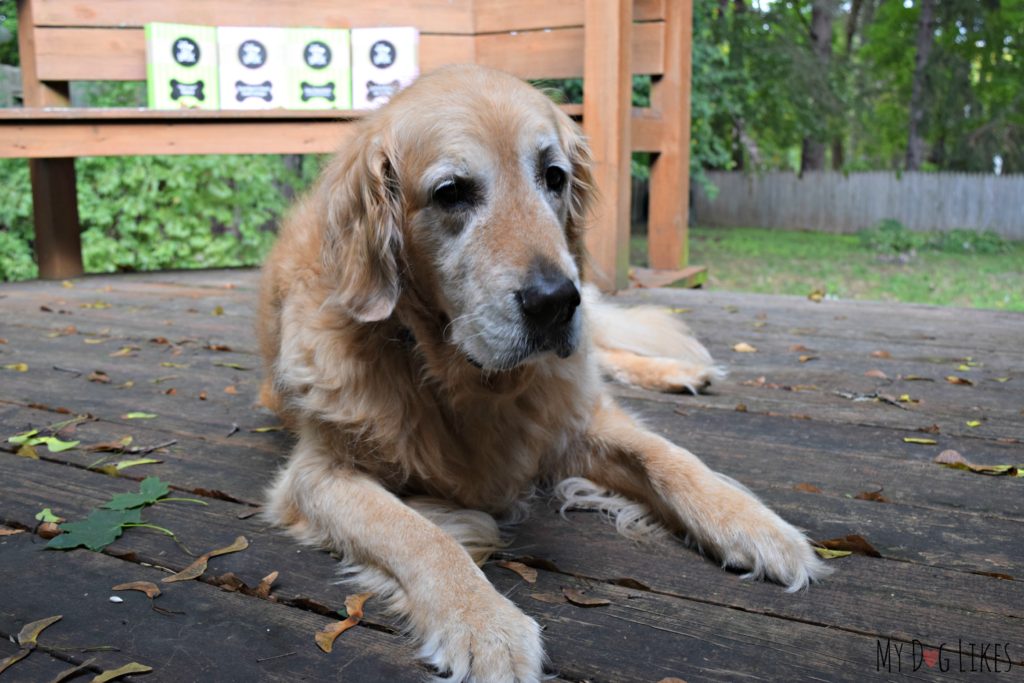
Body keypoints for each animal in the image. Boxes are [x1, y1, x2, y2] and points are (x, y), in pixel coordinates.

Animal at [258, 65, 831, 683]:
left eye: (554, 177)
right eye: (450, 192)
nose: (557, 302)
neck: (459, 377)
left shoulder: (571, 419)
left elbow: (668, 458)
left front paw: (756, 526)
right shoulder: (319, 473)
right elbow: (418, 534)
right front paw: (485, 623)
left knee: (608, 354)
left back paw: (679, 371)